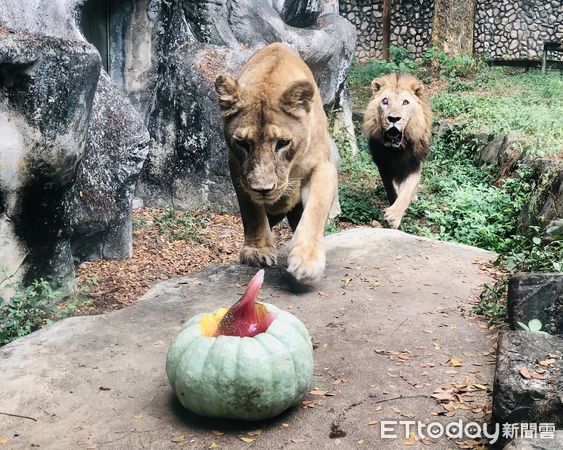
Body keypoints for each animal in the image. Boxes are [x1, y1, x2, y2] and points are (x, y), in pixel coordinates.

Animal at [215, 42, 340, 282]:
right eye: (243, 143)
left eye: (282, 143)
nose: (263, 189)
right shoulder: (237, 169)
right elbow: (252, 211)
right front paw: (257, 250)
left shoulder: (323, 165)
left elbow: (317, 207)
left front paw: (307, 259)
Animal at [364, 74, 434, 230]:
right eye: (385, 101)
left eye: (405, 102)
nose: (393, 118)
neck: (396, 151)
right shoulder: (383, 166)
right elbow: (390, 188)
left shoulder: (414, 165)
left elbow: (406, 192)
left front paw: (394, 216)